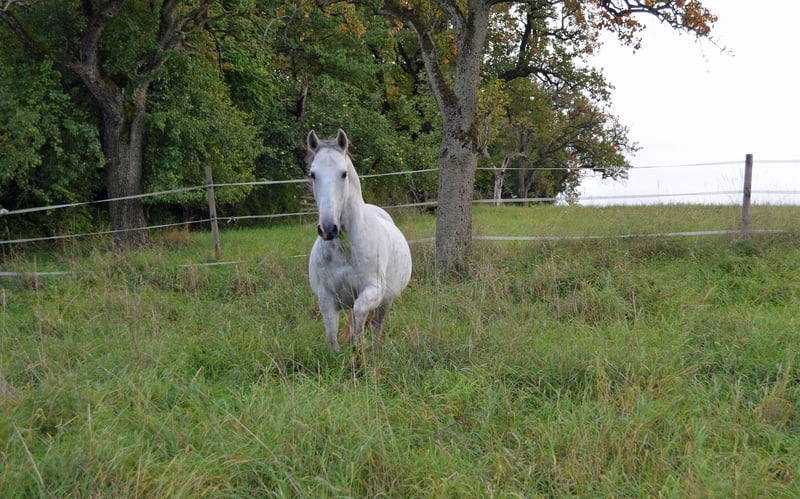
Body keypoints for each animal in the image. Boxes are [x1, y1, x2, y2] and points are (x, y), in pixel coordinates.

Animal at [306, 129, 412, 352]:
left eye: (344, 173)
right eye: (313, 174)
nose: (328, 229)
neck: (345, 249)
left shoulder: (373, 291)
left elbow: (358, 314)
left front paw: (358, 348)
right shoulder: (326, 298)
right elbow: (332, 336)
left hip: (386, 301)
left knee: (377, 327)